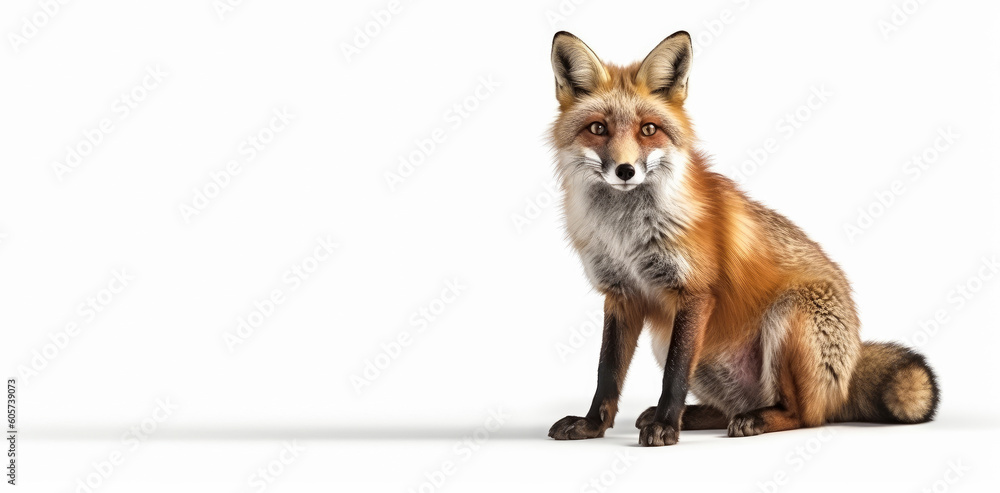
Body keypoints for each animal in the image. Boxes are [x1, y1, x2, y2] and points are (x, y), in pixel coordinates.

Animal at [545, 31, 939, 446]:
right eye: (598, 129)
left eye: (648, 130)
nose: (625, 170)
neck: (626, 235)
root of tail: (846, 376)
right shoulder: (621, 296)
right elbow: (607, 373)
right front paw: (593, 425)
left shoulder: (695, 292)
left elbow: (674, 375)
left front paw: (666, 427)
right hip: (671, 340)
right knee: (731, 407)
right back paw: (699, 415)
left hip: (788, 315)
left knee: (804, 415)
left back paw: (754, 420)